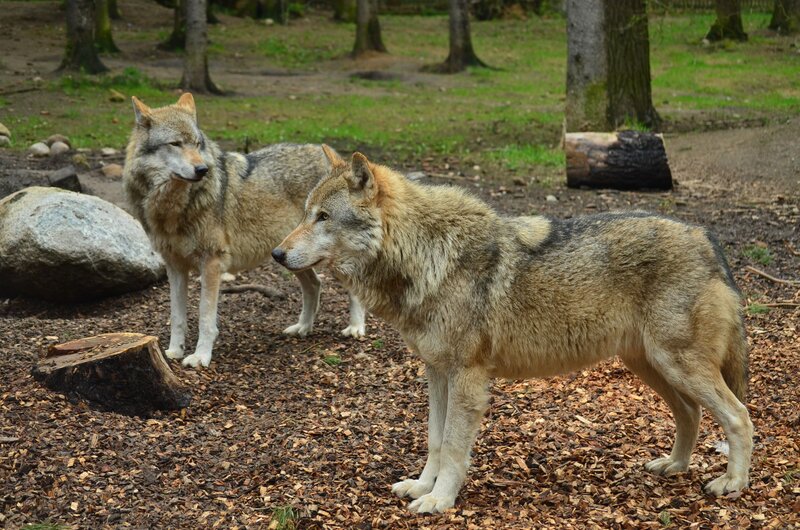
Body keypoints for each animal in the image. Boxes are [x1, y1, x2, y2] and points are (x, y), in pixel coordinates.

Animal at [123, 94, 366, 368]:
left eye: (197, 144)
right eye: (175, 144)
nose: (203, 170)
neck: (173, 208)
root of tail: (337, 162)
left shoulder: (212, 263)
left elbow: (205, 319)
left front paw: (200, 357)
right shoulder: (174, 267)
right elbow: (177, 316)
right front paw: (174, 351)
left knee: (351, 289)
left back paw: (356, 328)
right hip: (290, 257)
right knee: (314, 285)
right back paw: (303, 327)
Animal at [272, 147, 753, 513]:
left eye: (323, 217)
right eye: (305, 214)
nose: (277, 254)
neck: (427, 254)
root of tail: (708, 238)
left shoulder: (467, 378)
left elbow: (453, 447)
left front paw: (440, 501)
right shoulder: (437, 373)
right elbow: (434, 440)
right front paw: (421, 486)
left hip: (677, 365)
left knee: (739, 416)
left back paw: (732, 484)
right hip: (651, 366)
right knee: (691, 413)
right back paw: (675, 466)